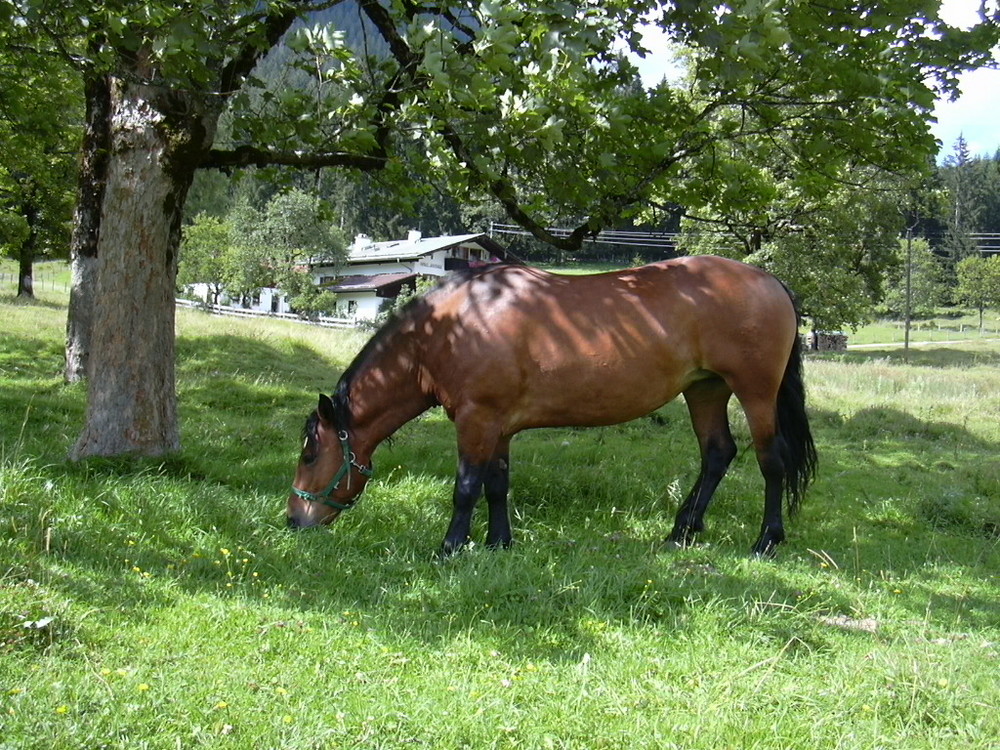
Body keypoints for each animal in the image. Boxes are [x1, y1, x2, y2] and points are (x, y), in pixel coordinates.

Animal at [286, 258, 816, 560]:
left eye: (309, 453)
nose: (294, 520)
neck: (452, 327)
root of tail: (770, 280)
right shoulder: (498, 426)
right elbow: (496, 485)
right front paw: (499, 544)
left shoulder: (477, 420)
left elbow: (466, 488)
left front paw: (450, 548)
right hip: (705, 390)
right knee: (717, 454)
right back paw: (681, 532)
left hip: (755, 391)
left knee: (770, 460)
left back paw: (766, 541)